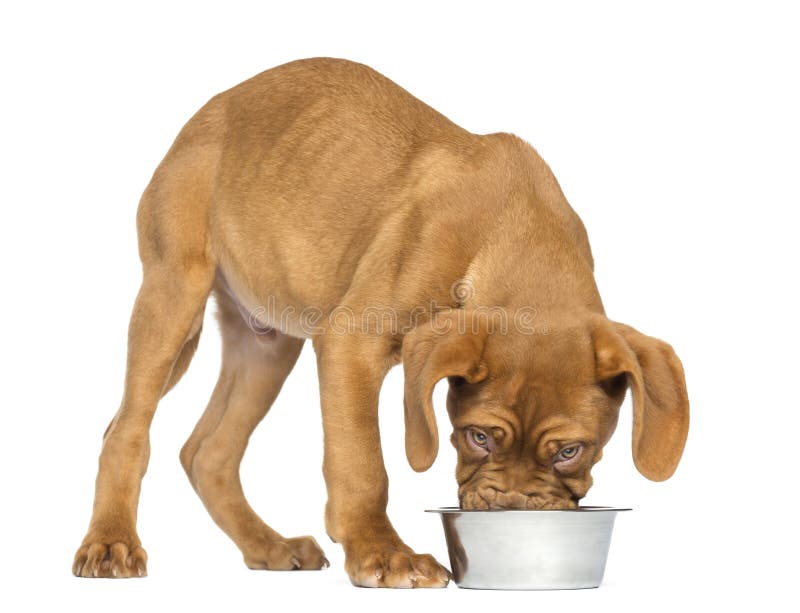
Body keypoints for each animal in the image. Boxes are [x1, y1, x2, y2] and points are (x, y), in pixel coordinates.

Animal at [72, 58, 692, 588]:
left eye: (571, 451)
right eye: (478, 436)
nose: (511, 510)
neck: (517, 235)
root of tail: (207, 113)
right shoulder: (350, 343)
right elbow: (364, 464)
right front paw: (382, 554)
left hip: (266, 343)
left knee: (208, 452)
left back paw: (268, 547)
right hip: (173, 297)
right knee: (125, 430)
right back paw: (111, 543)